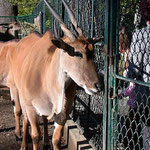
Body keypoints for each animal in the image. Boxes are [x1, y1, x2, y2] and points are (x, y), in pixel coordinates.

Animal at [7, 0, 102, 149]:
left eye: (92, 51)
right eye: (77, 52)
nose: (97, 86)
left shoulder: (64, 111)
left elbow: (56, 139)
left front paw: (49, 141)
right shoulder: (31, 107)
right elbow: (35, 135)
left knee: (45, 119)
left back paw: (45, 141)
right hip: (20, 95)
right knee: (25, 118)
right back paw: (23, 144)